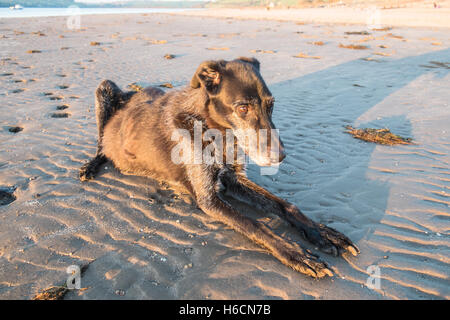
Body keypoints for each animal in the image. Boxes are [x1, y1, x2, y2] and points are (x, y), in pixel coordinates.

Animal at [79, 57, 360, 278]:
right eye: (243, 107)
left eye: (271, 105)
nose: (281, 156)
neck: (213, 130)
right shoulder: (208, 198)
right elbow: (255, 224)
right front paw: (295, 253)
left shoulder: (233, 178)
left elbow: (284, 205)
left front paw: (322, 233)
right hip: (104, 88)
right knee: (101, 144)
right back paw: (91, 166)